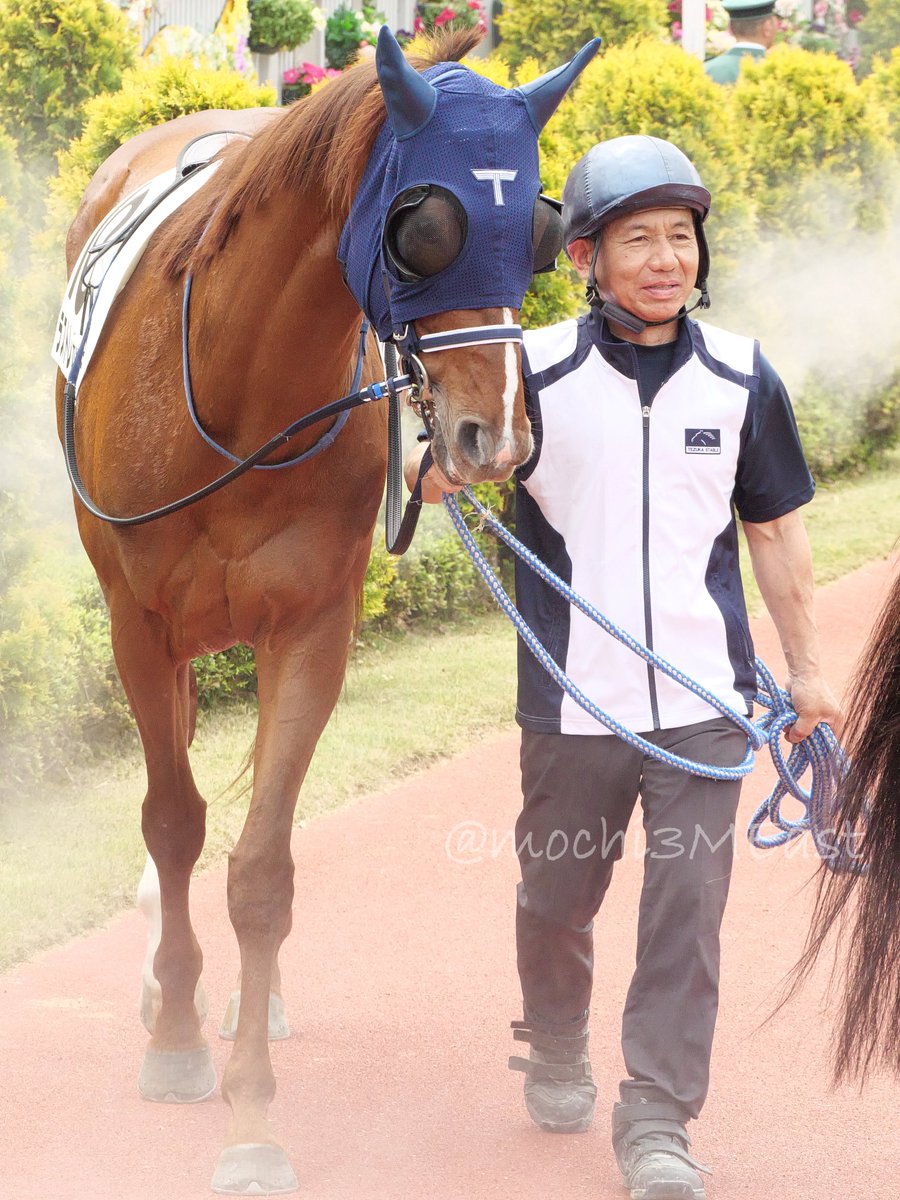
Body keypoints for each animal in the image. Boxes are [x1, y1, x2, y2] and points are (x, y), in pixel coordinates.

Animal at [54, 26, 598, 1195]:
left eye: (539, 229)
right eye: (426, 227)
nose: (496, 434)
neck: (232, 398)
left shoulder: (310, 628)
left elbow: (261, 870)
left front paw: (252, 1113)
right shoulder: (138, 626)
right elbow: (172, 823)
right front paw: (176, 1038)